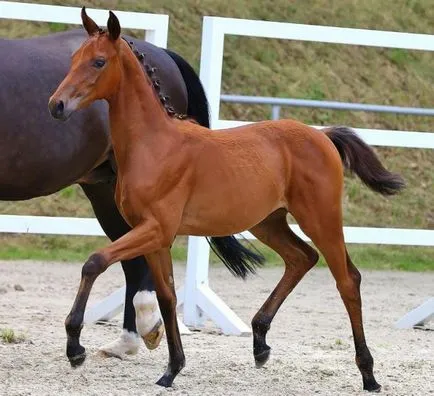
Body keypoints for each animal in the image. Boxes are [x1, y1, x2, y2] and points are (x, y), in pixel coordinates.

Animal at [0, 27, 262, 356]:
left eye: (99, 62)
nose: (56, 106)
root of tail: (162, 54)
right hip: (106, 191)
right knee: (131, 259)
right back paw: (129, 338)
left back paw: (143, 325)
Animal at [49, 8, 406, 390]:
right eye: (74, 58)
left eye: (99, 61)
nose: (57, 105)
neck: (154, 145)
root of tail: (322, 135)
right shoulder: (156, 237)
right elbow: (167, 296)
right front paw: (171, 370)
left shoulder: (156, 229)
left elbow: (95, 261)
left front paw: (75, 348)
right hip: (268, 222)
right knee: (302, 258)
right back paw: (260, 343)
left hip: (321, 218)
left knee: (347, 279)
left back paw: (368, 374)